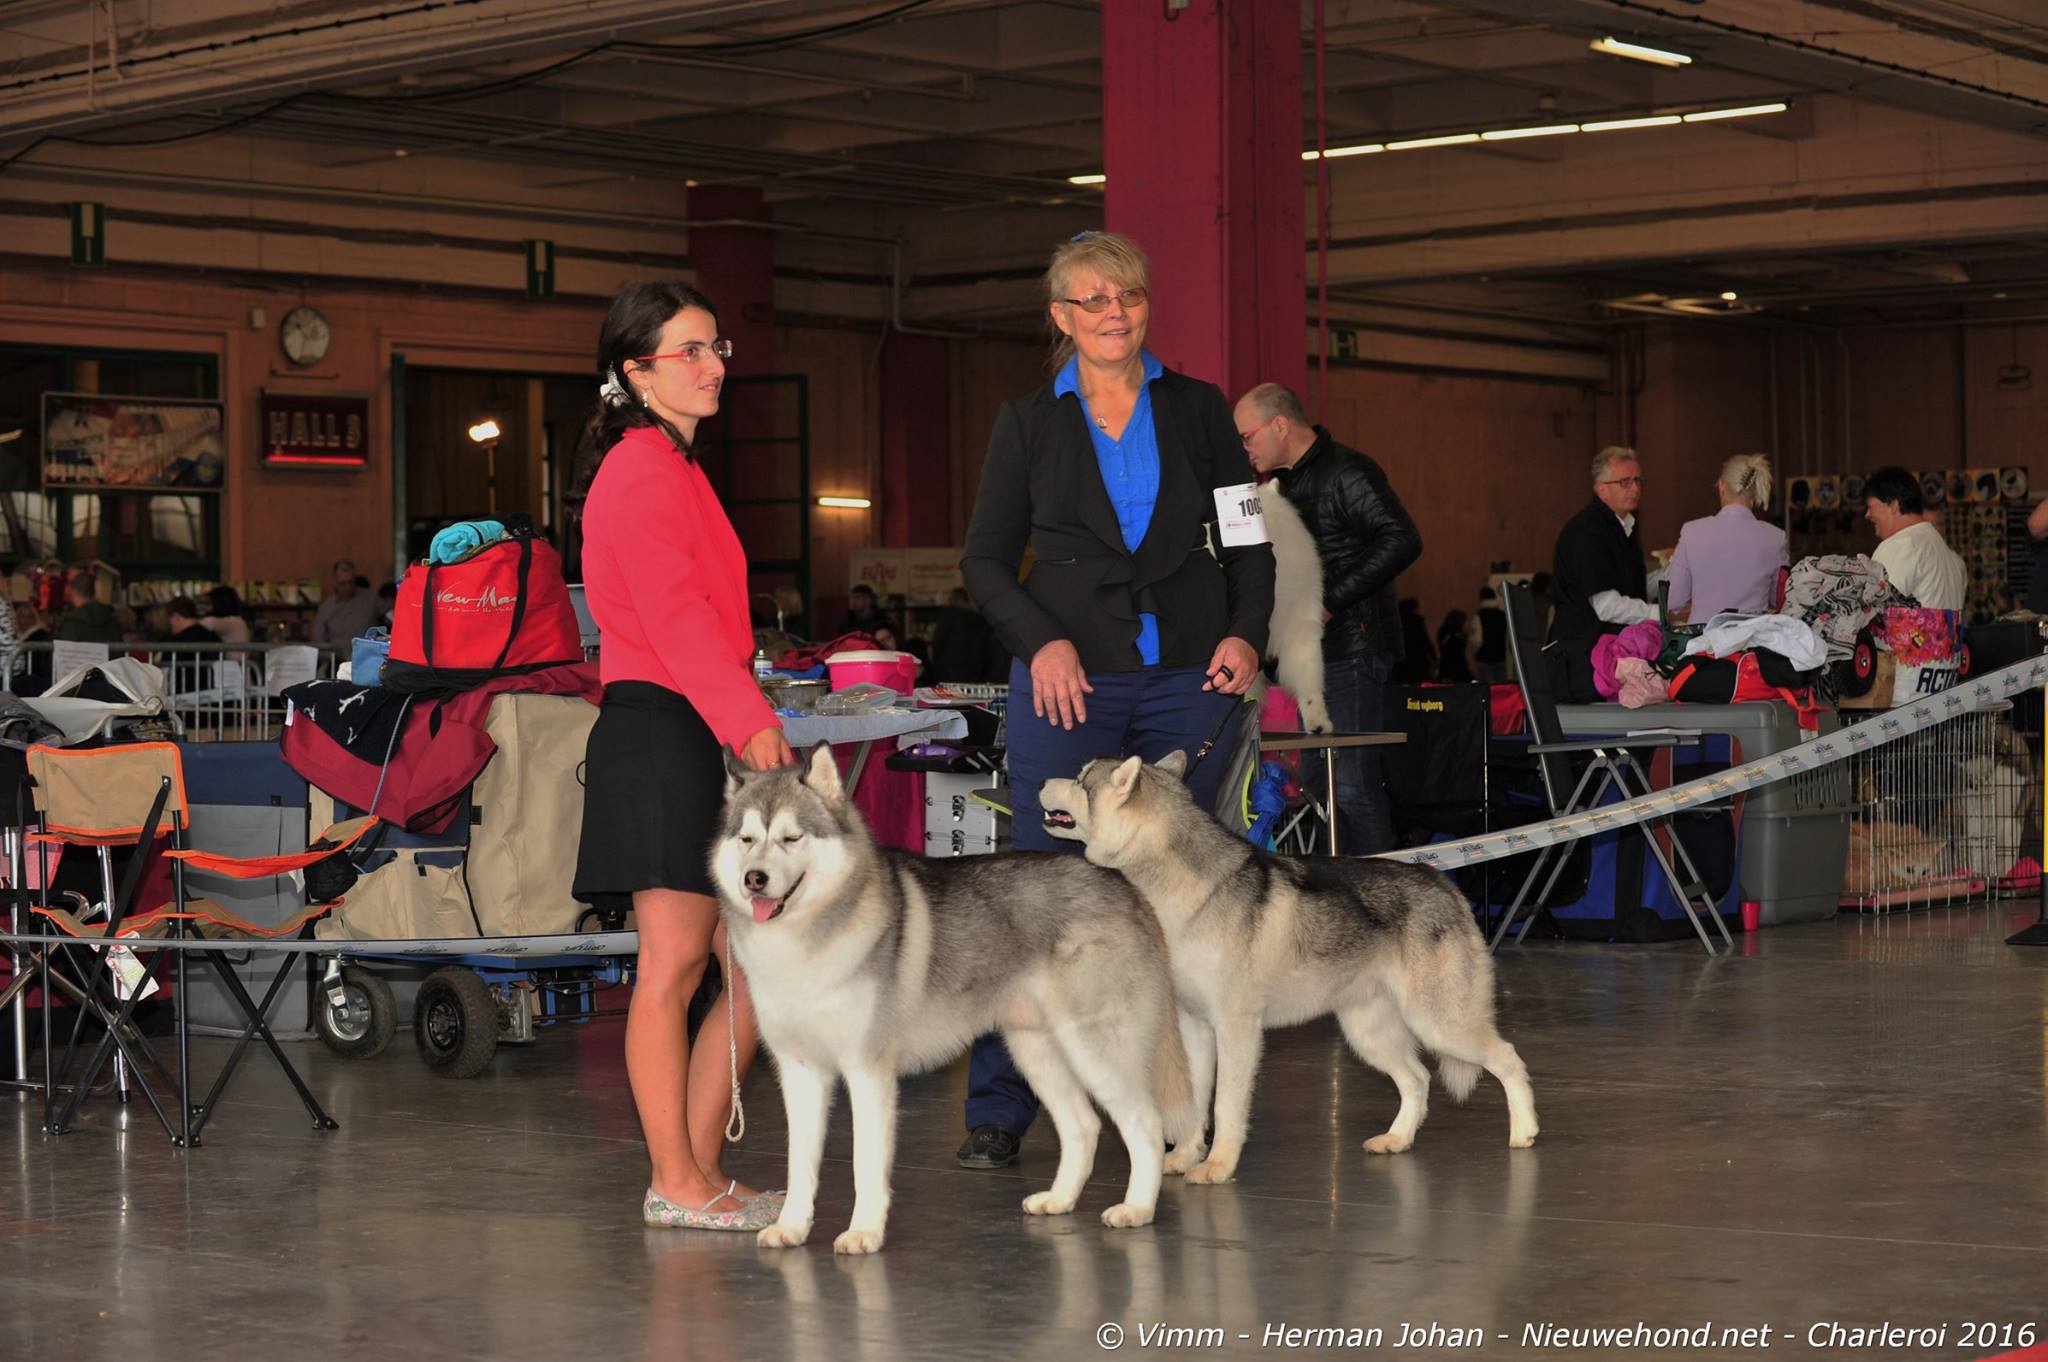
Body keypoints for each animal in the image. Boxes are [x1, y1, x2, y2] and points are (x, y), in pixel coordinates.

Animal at [720, 745, 1196, 1253]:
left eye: (791, 838)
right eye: (747, 838)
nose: (754, 879)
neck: (806, 943)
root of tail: (1123, 884)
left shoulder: (868, 1072)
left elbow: (864, 1163)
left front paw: (864, 1230)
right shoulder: (800, 1073)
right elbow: (799, 1163)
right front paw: (792, 1225)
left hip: (1096, 1051)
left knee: (1145, 1126)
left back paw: (1137, 1208)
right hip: (1035, 1051)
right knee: (1083, 1126)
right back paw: (1059, 1199)